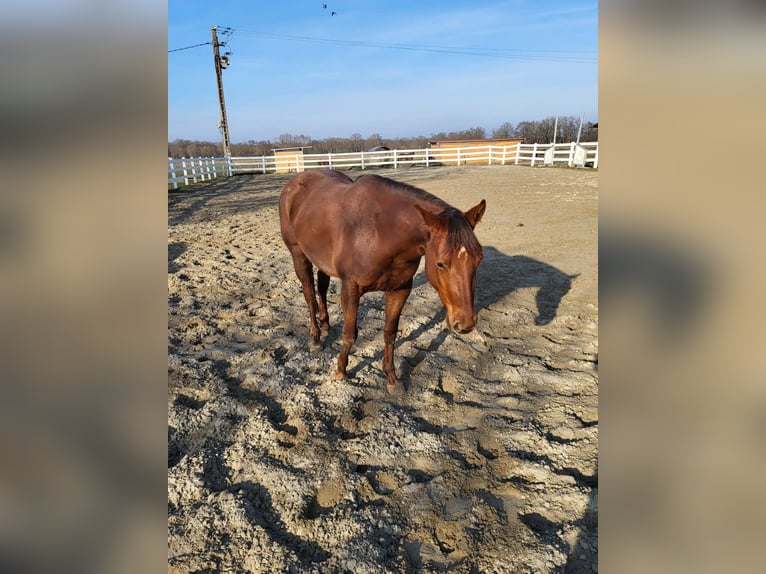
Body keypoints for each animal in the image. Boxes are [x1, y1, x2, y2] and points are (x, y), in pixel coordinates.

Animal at [279, 169, 486, 393]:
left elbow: (390, 333)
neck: (381, 232)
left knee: (322, 287)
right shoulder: (351, 287)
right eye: (441, 264)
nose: (465, 323)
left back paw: (326, 326)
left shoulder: (400, 289)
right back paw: (316, 338)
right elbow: (349, 333)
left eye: (479, 259)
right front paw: (341, 371)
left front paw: (391, 378)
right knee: (309, 295)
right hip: (298, 255)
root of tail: (295, 182)